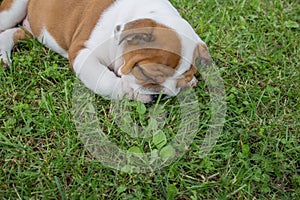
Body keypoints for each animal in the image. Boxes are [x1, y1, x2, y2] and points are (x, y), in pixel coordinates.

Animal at [0, 0, 211, 102]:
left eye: (179, 84)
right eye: (145, 73)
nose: (160, 96)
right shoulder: (82, 51)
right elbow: (104, 81)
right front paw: (125, 90)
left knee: (15, 32)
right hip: (13, 9)